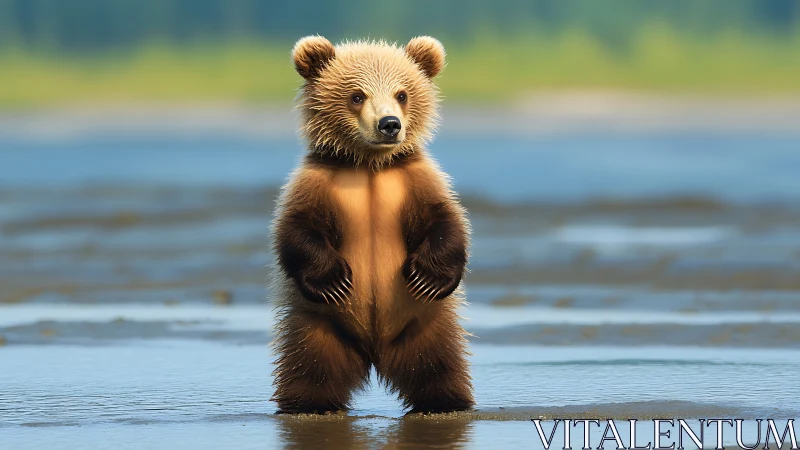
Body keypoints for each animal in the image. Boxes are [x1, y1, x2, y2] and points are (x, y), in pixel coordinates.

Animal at [269, 35, 474, 414]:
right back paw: (309, 405)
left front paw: (427, 277)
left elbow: (446, 221)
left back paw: (445, 401)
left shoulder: (415, 180)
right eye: (357, 95)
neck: (369, 164)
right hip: (318, 324)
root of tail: (375, 352)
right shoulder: (318, 182)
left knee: (439, 364)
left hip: (427, 322)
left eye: (402, 93)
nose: (389, 124)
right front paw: (334, 280)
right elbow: (297, 229)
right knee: (310, 366)